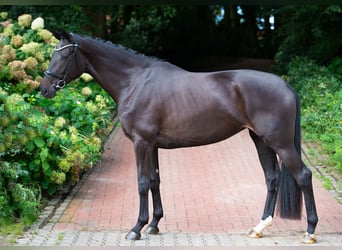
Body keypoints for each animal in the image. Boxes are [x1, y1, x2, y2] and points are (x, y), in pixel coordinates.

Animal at [40, 31, 318, 244]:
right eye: (53, 53)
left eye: (64, 54)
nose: (44, 89)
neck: (135, 81)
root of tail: (286, 85)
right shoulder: (152, 145)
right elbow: (155, 181)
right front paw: (153, 225)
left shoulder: (141, 143)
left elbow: (142, 183)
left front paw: (136, 228)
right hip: (260, 140)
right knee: (272, 178)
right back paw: (259, 228)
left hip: (281, 144)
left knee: (303, 176)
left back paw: (310, 231)